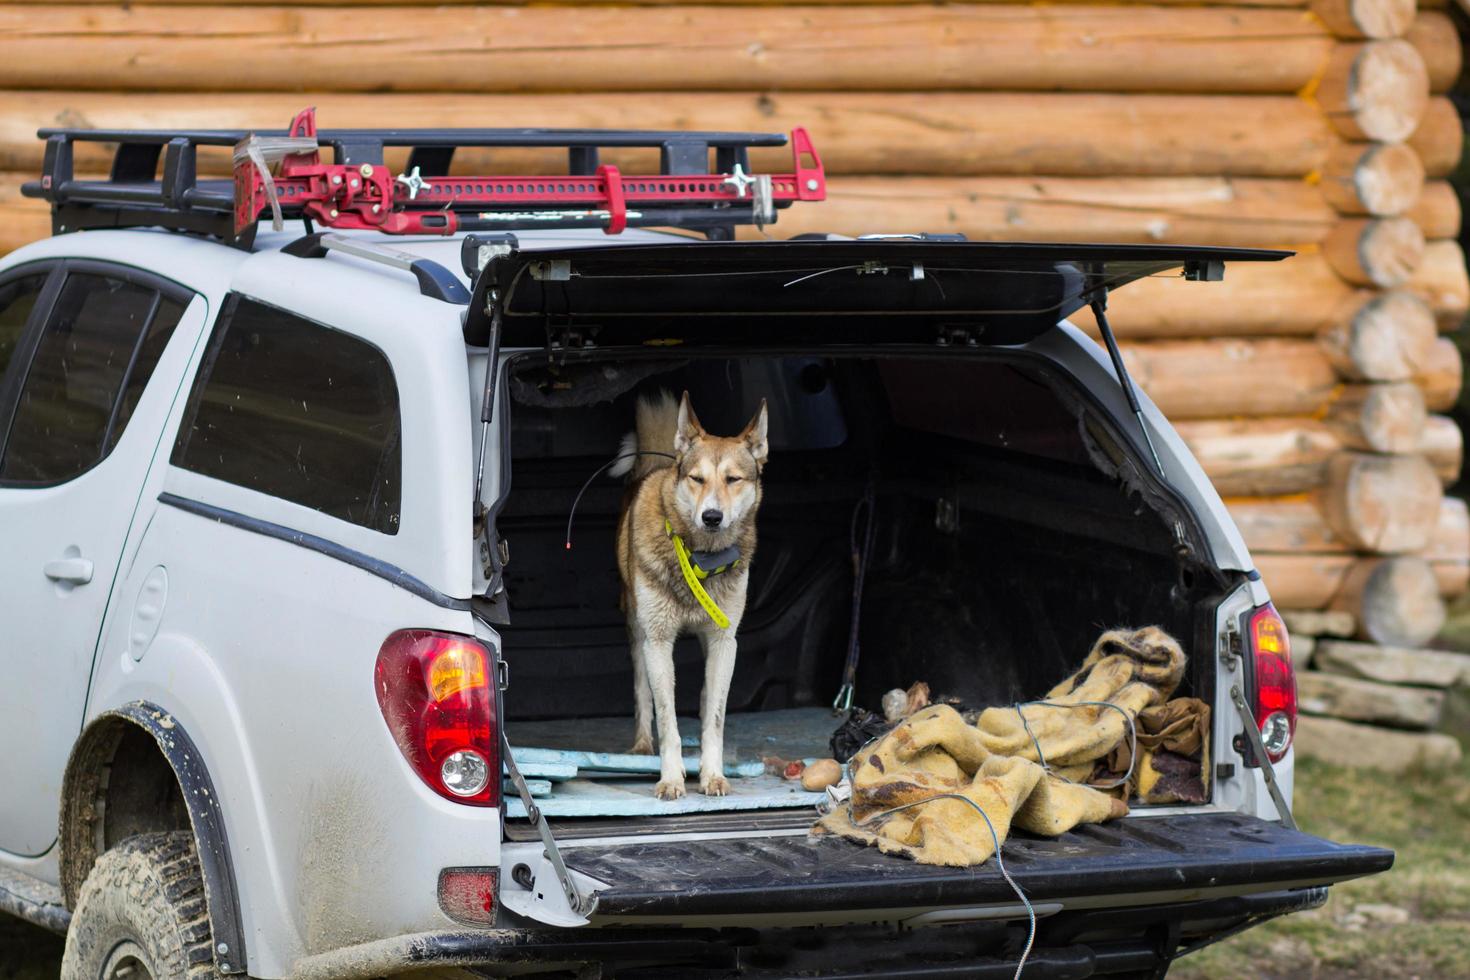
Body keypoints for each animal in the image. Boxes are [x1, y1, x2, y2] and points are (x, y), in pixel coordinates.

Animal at [608, 390, 770, 799]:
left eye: (733, 479)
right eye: (697, 479)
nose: (711, 517)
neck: (700, 560)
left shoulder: (724, 641)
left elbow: (714, 717)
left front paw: (712, 774)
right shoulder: (657, 641)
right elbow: (667, 719)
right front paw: (670, 777)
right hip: (638, 634)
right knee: (643, 694)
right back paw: (641, 746)